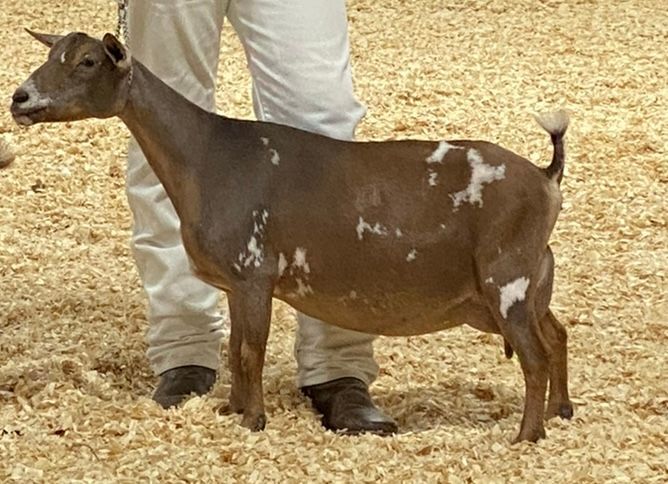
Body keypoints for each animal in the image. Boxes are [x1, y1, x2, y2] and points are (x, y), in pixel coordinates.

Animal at [10, 31, 573, 443]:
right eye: (51, 54)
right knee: (557, 336)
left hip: (507, 280)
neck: (208, 155)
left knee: (534, 354)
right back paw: (561, 413)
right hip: (533, 280)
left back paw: (526, 436)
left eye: (86, 61)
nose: (20, 98)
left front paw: (253, 421)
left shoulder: (254, 272)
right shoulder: (235, 284)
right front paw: (230, 411)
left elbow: (250, 350)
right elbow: (236, 346)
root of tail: (546, 177)